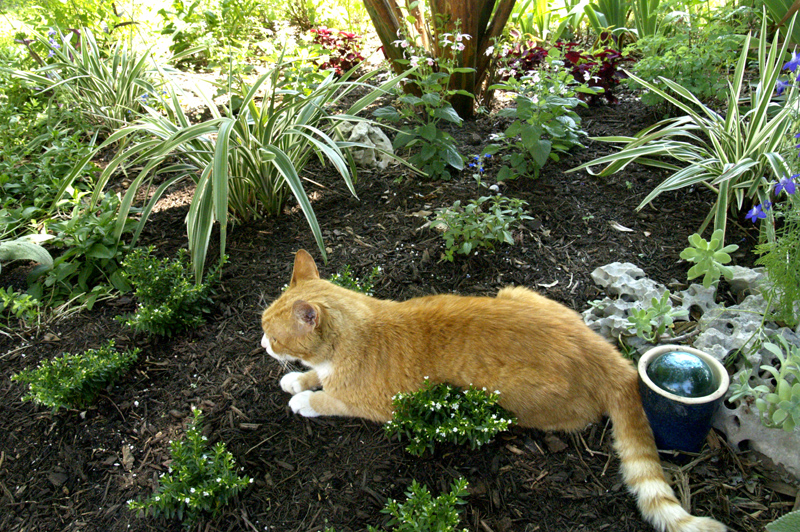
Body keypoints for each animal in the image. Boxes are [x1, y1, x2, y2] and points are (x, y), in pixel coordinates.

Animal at [260, 250, 724, 532]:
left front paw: (303, 397)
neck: (357, 332)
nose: (263, 344)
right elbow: (314, 376)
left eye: (275, 337)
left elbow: (328, 397)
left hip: (517, 399)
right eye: (264, 327)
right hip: (513, 291)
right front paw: (297, 379)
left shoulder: (372, 404)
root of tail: (605, 354)